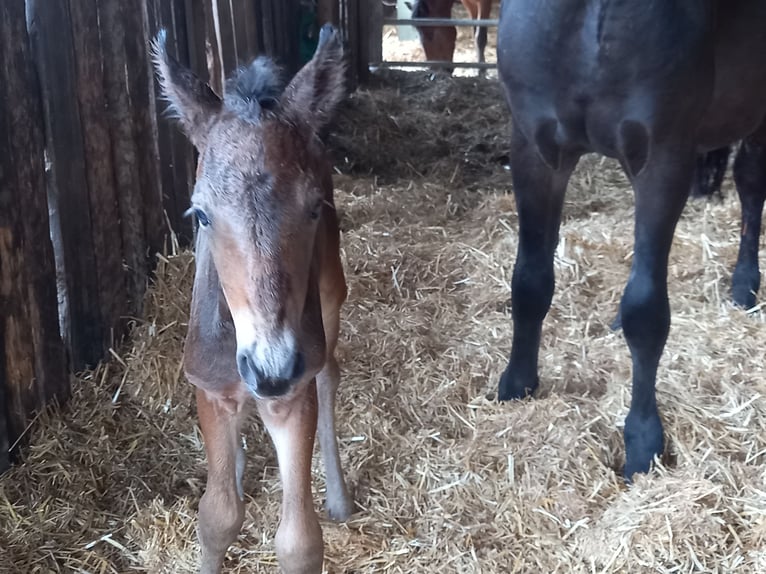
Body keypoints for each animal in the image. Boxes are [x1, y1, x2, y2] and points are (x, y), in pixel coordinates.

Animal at [154, 24, 356, 574]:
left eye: (314, 208)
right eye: (200, 215)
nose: (270, 368)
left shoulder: (293, 395)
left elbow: (299, 541)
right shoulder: (210, 388)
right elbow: (217, 516)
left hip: (330, 298)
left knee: (330, 371)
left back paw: (339, 497)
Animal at [498, 3, 766, 482]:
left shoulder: (662, 161)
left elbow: (646, 311)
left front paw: (643, 441)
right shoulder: (535, 149)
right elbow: (530, 280)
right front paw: (517, 385)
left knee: (751, 184)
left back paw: (743, 286)